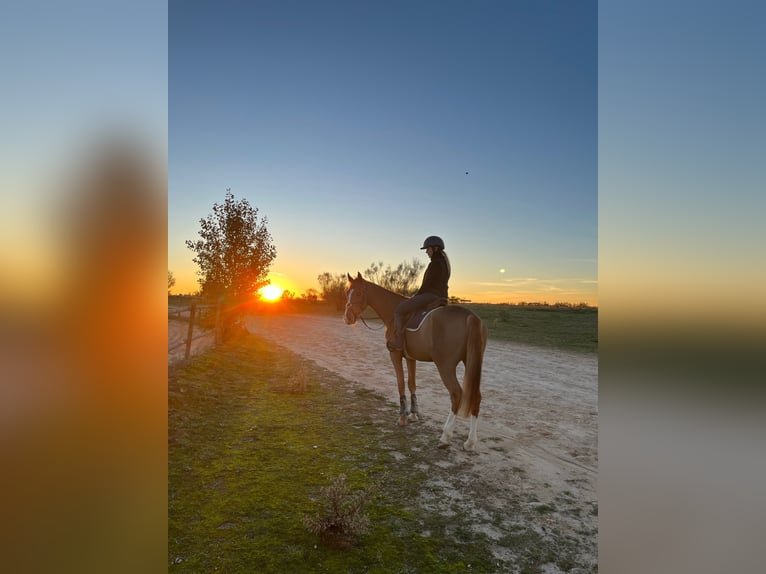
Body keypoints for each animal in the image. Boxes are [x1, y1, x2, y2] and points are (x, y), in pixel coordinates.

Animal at [344, 272, 488, 452]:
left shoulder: (395, 355)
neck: (393, 312)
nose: (347, 318)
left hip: (445, 366)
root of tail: (470, 316)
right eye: (347, 293)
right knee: (476, 397)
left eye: (358, 293)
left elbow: (400, 383)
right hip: (471, 362)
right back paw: (470, 442)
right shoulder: (411, 358)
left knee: (456, 394)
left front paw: (402, 418)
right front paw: (413, 414)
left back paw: (445, 436)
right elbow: (411, 384)